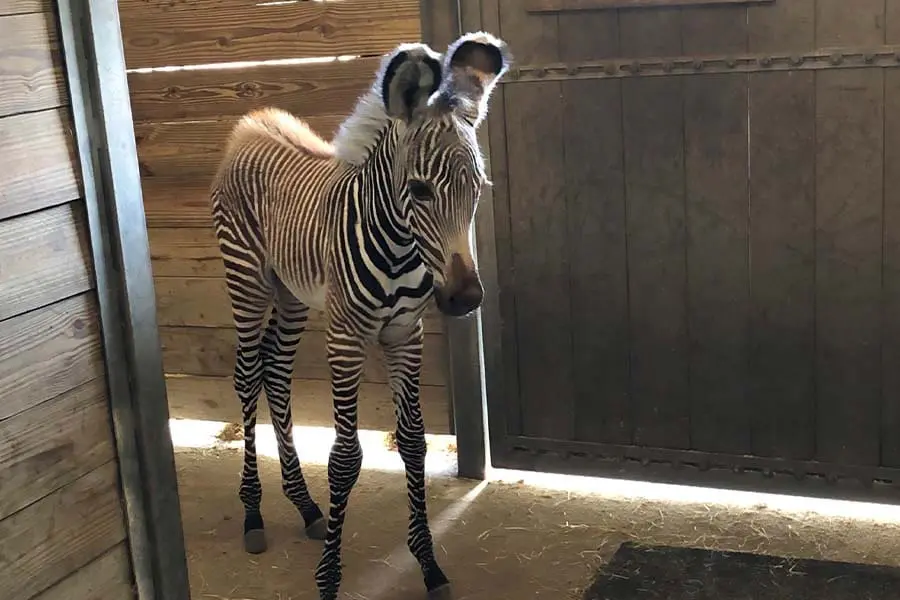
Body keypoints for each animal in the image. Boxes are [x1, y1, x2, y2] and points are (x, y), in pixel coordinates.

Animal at [207, 31, 510, 600]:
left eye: (478, 188)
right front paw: (329, 580)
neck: (400, 249)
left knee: (275, 373)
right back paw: (253, 515)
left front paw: (429, 564)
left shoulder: (405, 334)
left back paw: (305, 507)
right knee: (247, 375)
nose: (465, 300)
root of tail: (255, 120)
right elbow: (345, 459)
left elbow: (412, 444)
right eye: (420, 191)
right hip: (248, 282)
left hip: (293, 294)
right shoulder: (347, 337)